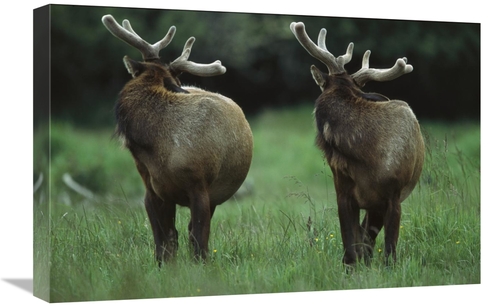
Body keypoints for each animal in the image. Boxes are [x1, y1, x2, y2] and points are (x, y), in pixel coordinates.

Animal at [100, 15, 254, 264]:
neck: (158, 148)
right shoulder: (152, 190)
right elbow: (163, 241)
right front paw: (164, 267)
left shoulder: (200, 186)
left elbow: (198, 239)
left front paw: (200, 267)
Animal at [290, 21, 426, 268]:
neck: (366, 155)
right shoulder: (343, 192)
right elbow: (349, 248)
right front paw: (352, 268)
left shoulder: (393, 195)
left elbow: (389, 251)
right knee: (364, 238)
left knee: (369, 238)